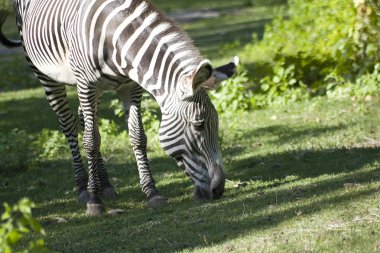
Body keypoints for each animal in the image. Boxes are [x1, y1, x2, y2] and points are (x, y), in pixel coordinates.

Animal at [0, 0, 238, 215]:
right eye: (198, 125)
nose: (219, 190)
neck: (114, 41)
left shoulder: (130, 87)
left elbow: (137, 137)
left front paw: (152, 192)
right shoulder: (87, 85)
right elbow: (91, 141)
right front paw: (94, 202)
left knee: (86, 120)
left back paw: (105, 184)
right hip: (45, 74)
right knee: (69, 125)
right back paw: (83, 188)